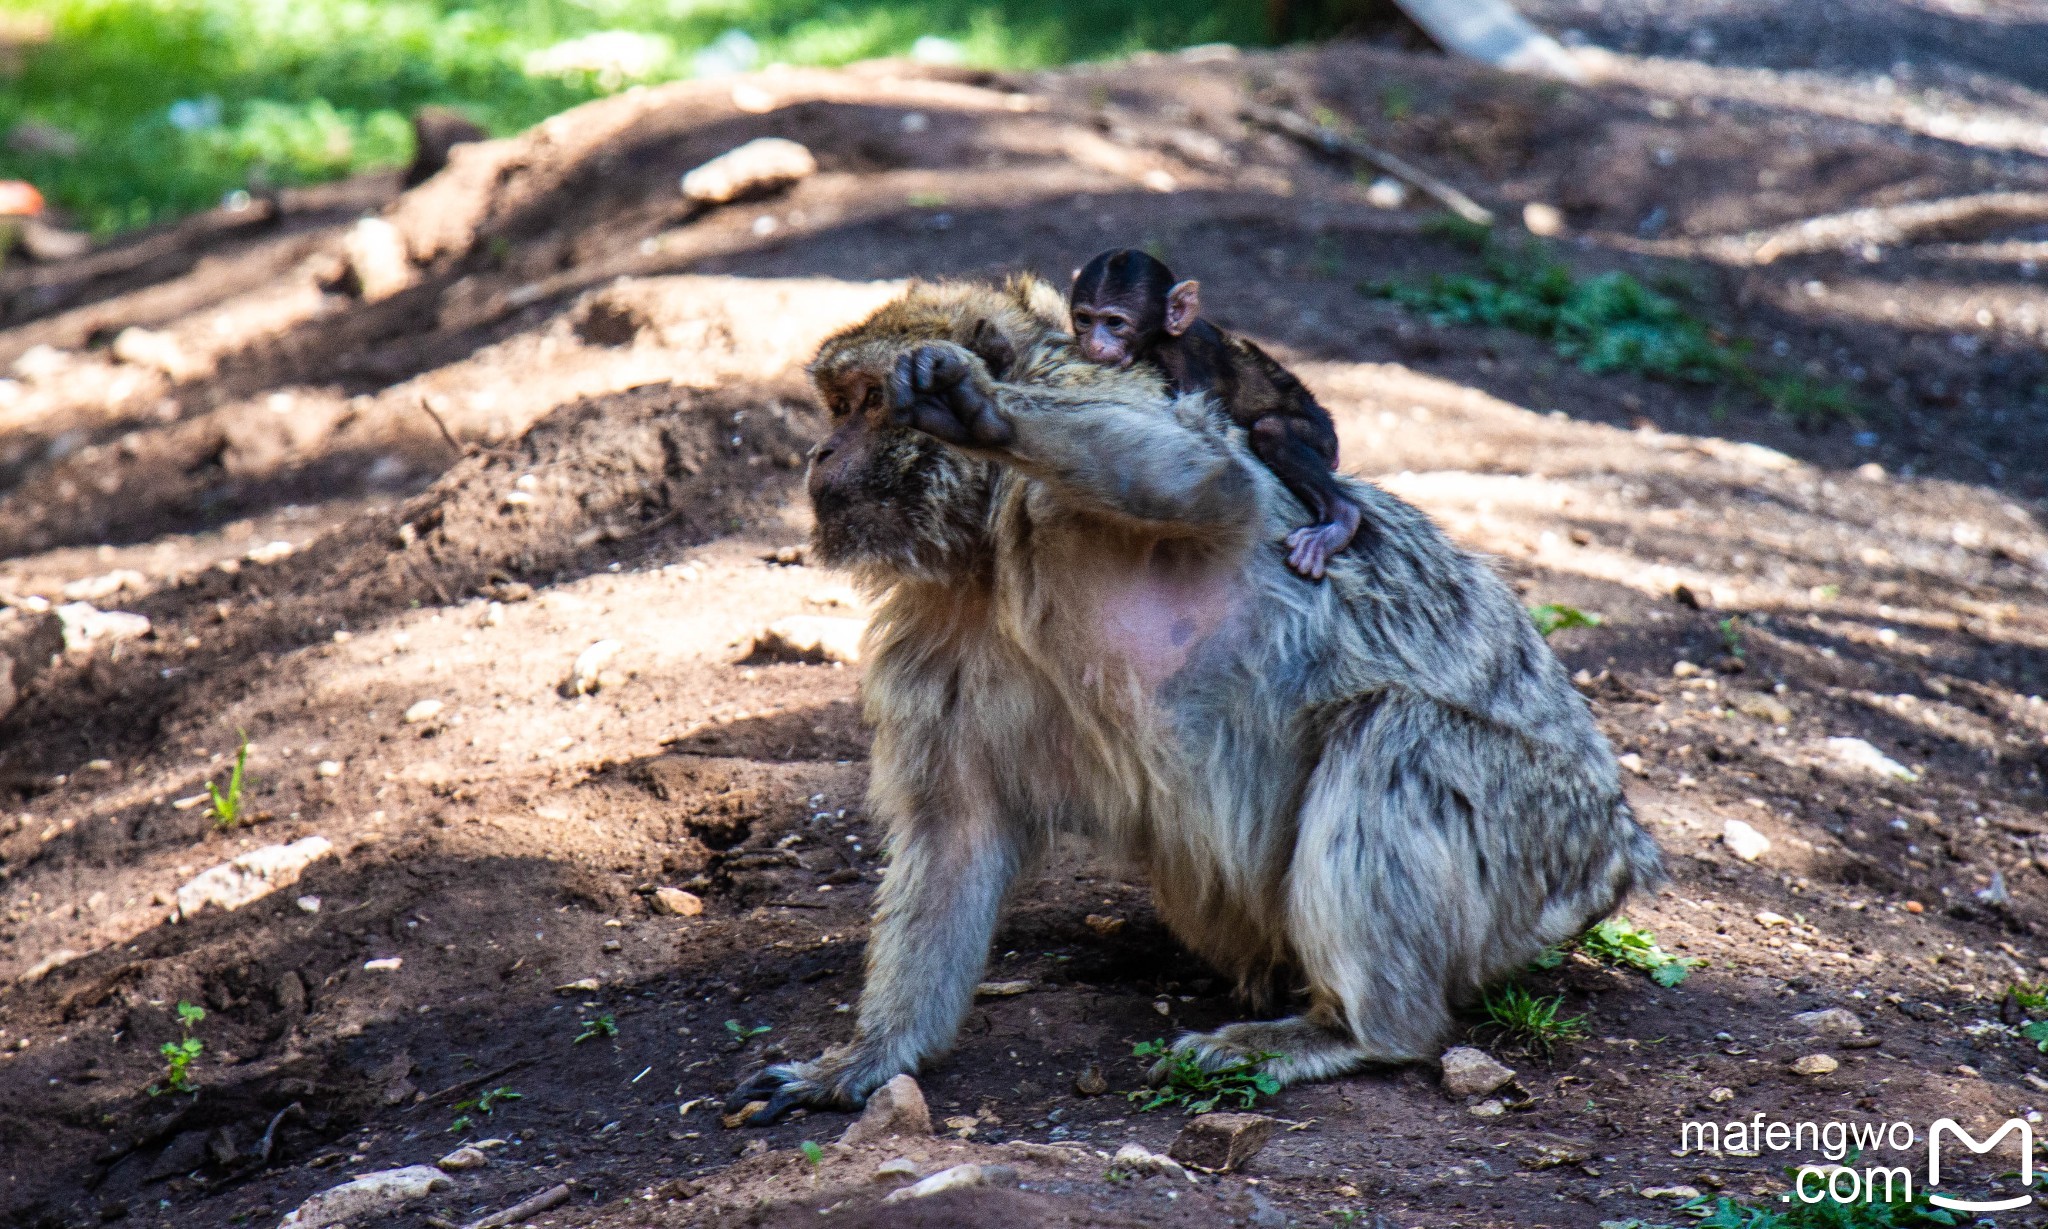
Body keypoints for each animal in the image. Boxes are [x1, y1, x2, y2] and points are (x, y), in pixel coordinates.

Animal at [1064, 249, 1368, 581]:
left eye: (1115, 322)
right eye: (1084, 318)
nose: (1094, 342)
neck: (1158, 340)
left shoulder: (1183, 361)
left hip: (1320, 435)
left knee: (1272, 429)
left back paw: (1340, 519)